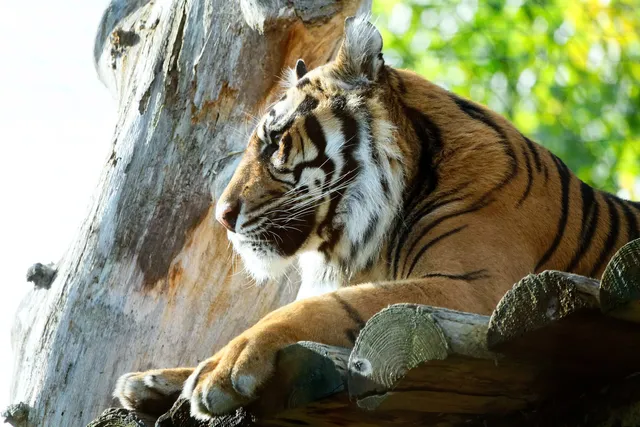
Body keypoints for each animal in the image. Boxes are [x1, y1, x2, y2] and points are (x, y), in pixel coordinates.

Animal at [114, 16, 640, 420]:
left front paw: (224, 368)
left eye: (276, 142)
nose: (223, 217)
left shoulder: (478, 289)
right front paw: (154, 379)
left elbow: (326, 306)